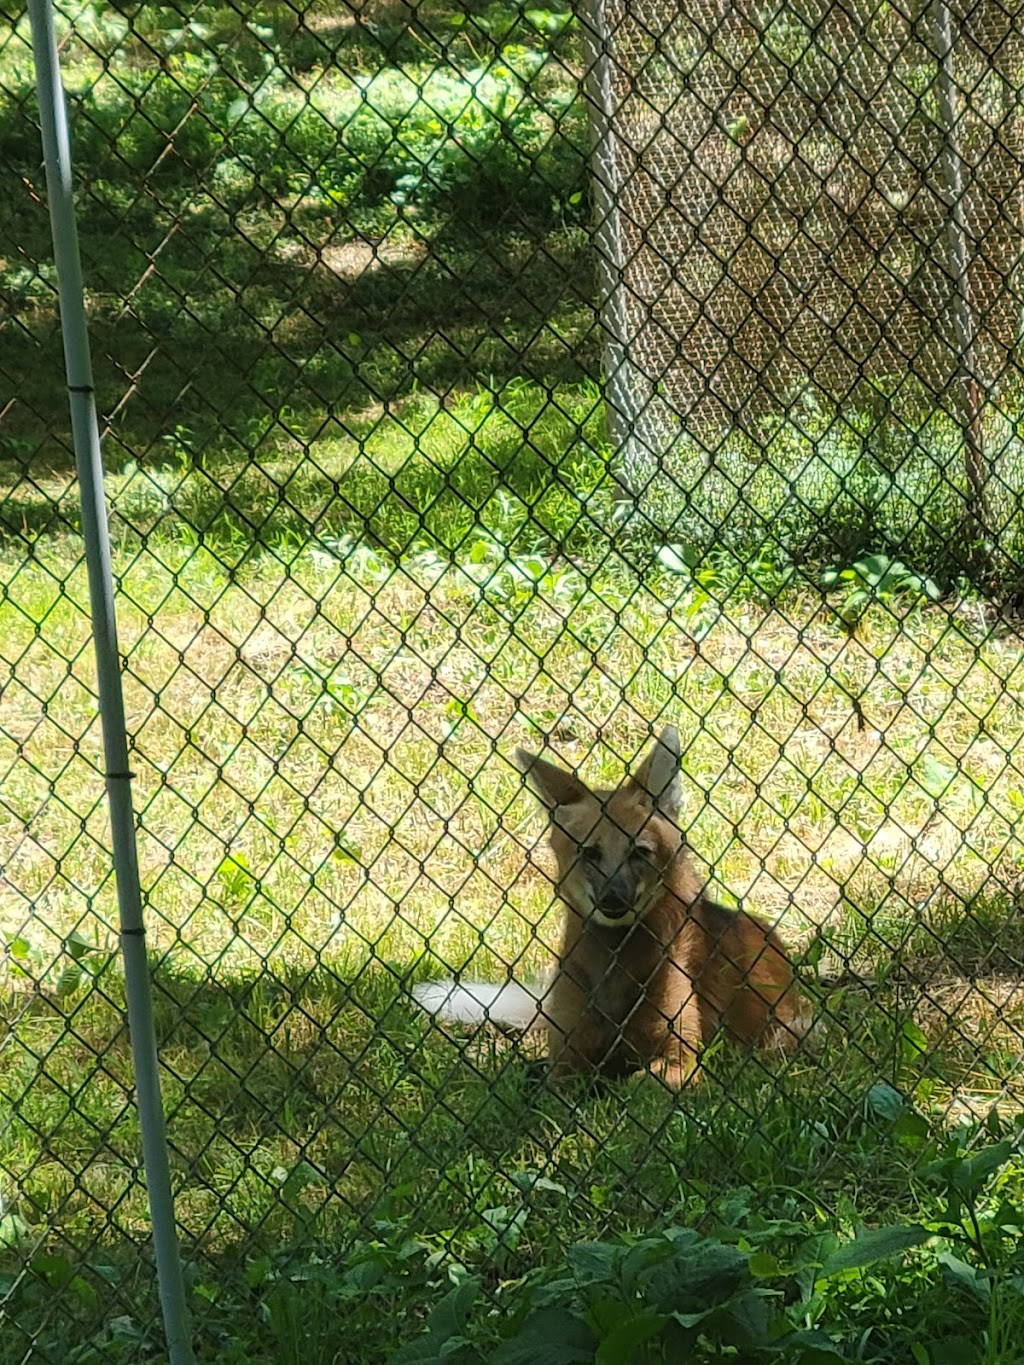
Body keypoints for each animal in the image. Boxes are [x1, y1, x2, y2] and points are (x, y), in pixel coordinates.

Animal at [415, 726, 808, 1086]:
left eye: (639, 852)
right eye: (590, 852)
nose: (612, 899)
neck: (613, 961)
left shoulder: (679, 1059)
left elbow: (639, 1083)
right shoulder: (566, 1058)